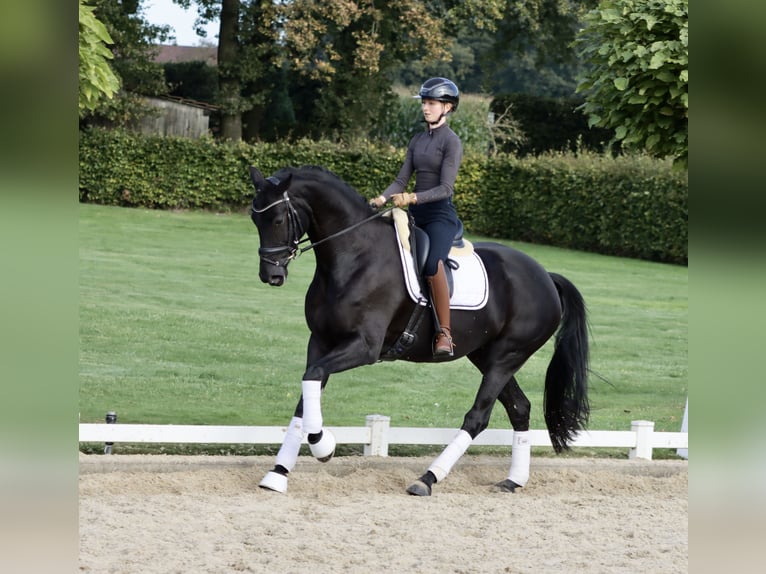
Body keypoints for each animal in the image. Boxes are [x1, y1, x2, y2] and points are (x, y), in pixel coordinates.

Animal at [249, 164, 592, 498]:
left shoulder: (364, 346)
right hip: (487, 356)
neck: (354, 255)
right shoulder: (320, 341)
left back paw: (427, 479)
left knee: (478, 416)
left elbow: (313, 377)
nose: (271, 275)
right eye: (255, 219)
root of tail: (545, 276)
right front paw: (278, 474)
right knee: (519, 408)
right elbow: (306, 392)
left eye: (277, 219)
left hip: (508, 356)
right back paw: (513, 480)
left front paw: (323, 446)